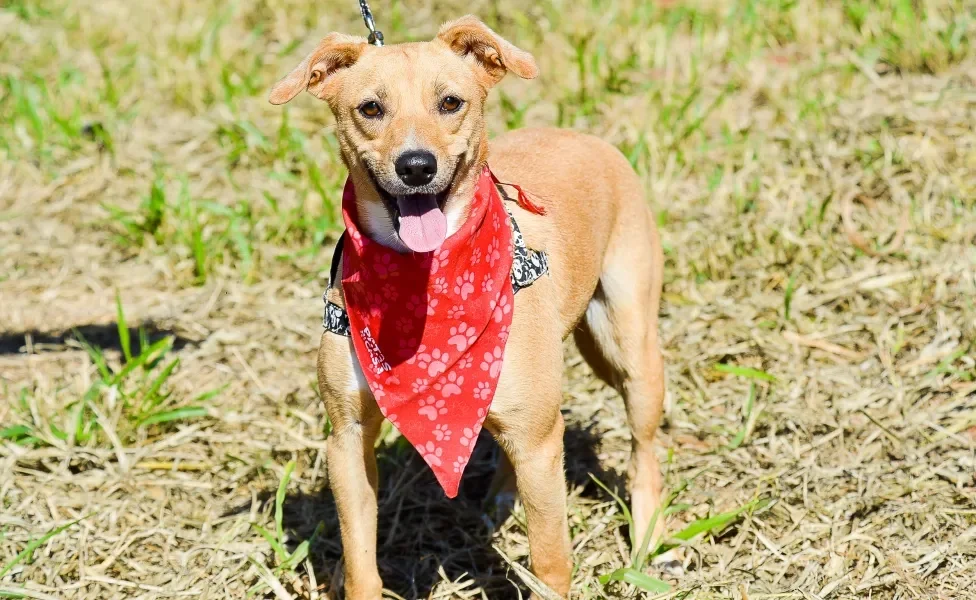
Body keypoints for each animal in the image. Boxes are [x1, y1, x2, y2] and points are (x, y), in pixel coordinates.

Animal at [270, 16, 668, 596]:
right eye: (371, 108)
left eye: (450, 102)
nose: (416, 166)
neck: (423, 284)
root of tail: (583, 135)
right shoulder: (346, 439)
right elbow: (360, 558)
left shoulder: (540, 446)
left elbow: (550, 559)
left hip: (629, 344)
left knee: (644, 449)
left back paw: (647, 537)